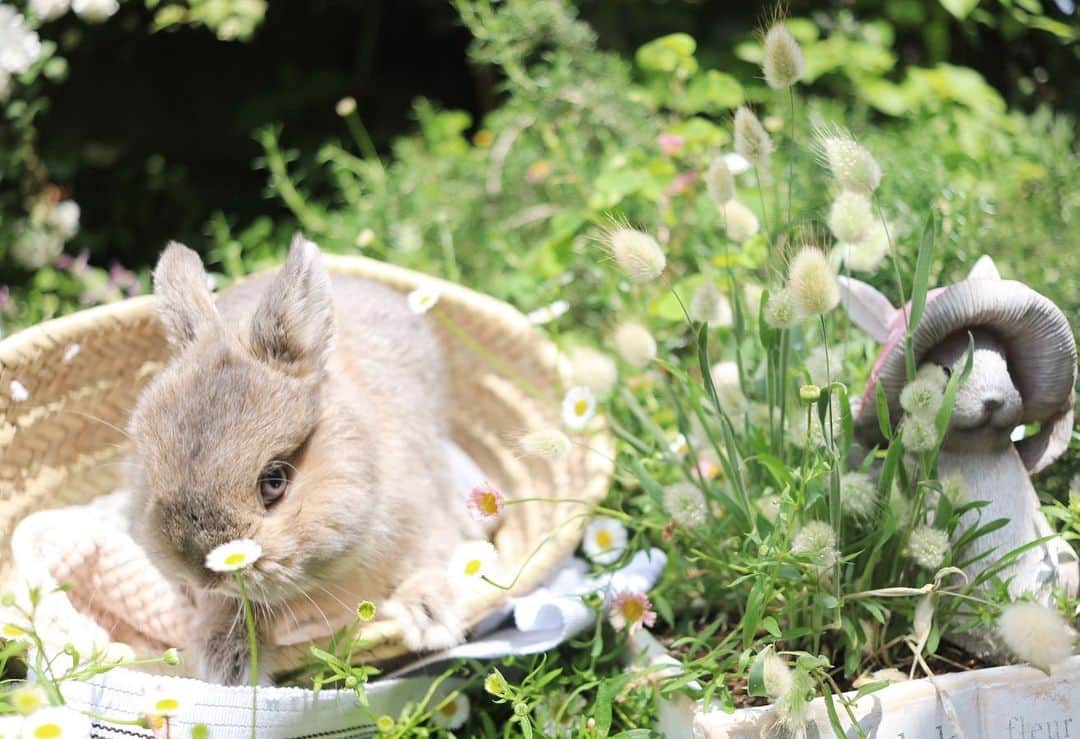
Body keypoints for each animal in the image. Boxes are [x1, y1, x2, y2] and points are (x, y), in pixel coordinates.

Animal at [127, 233, 477, 682]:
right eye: (152, 475)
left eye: (274, 481)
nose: (199, 572)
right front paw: (227, 664)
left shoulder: (425, 517)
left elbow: (428, 564)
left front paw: (430, 619)